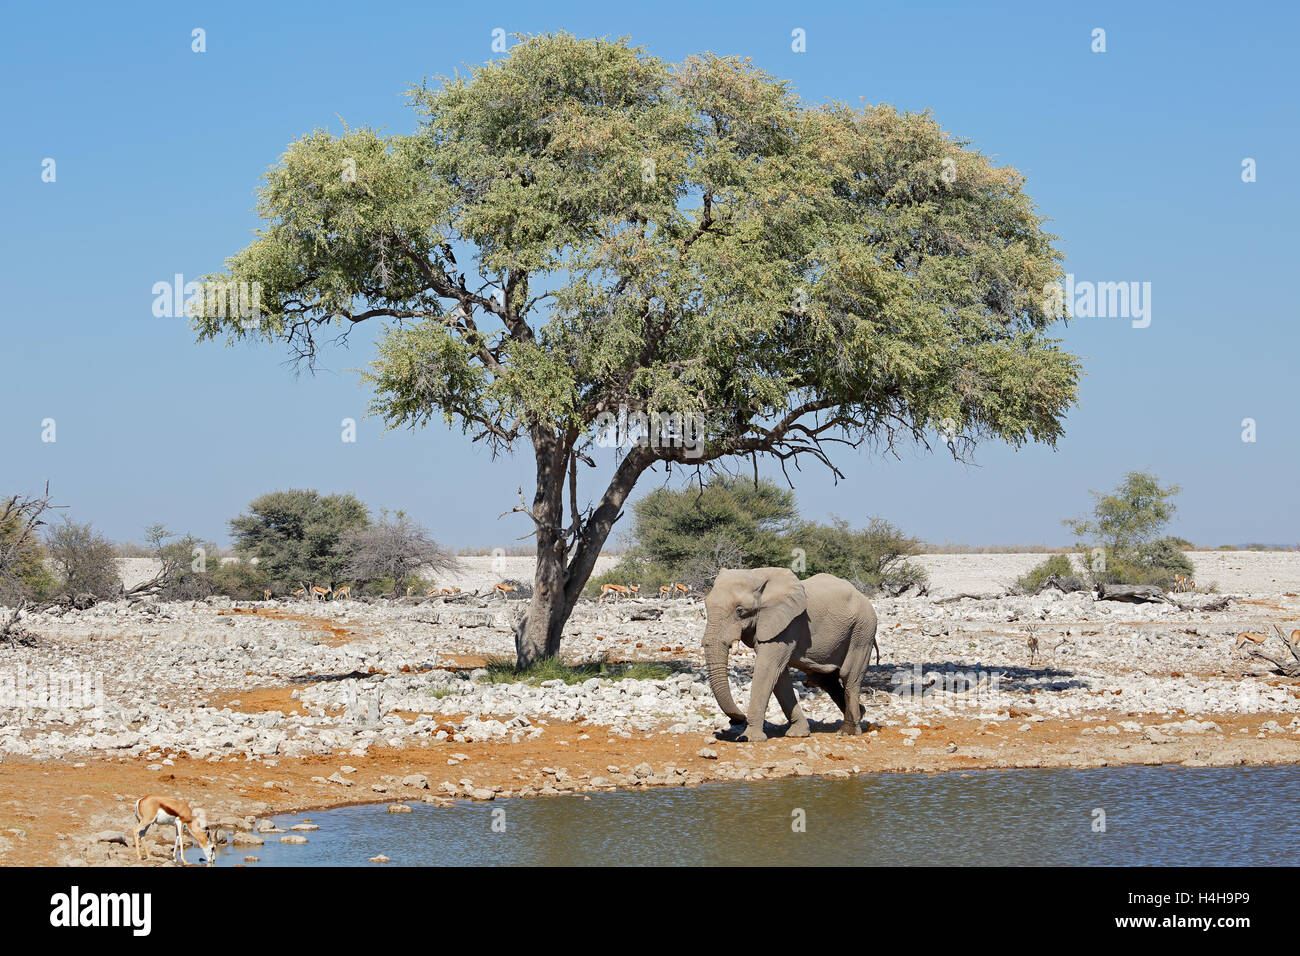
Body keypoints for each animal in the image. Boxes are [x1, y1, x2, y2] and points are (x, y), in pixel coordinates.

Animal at [707, 572, 878, 743]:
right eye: (706, 605)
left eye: (740, 610)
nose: (736, 719)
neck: (758, 575)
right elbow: (779, 676)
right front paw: (799, 733)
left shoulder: (788, 625)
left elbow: (768, 668)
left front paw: (748, 737)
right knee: (825, 679)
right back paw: (861, 713)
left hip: (862, 630)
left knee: (849, 676)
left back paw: (847, 731)